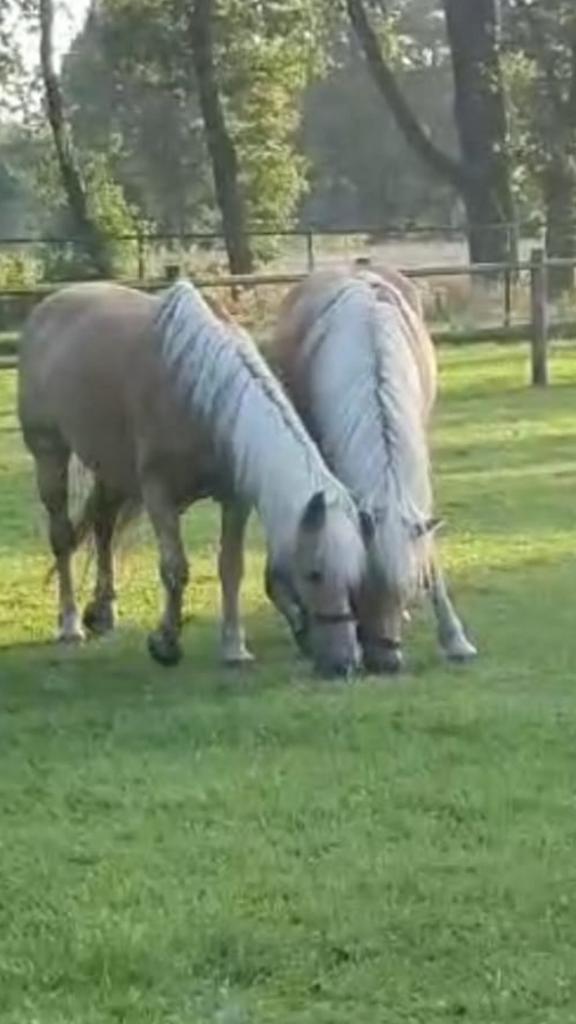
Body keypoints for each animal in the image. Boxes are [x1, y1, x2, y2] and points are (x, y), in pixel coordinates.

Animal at [18, 279, 373, 678]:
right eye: (313, 573)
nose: (345, 663)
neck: (204, 394)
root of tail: (50, 305)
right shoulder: (158, 494)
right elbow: (175, 569)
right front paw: (165, 644)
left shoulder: (235, 499)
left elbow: (231, 568)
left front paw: (234, 648)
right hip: (50, 454)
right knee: (63, 536)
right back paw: (70, 623)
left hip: (111, 469)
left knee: (104, 528)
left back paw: (104, 612)